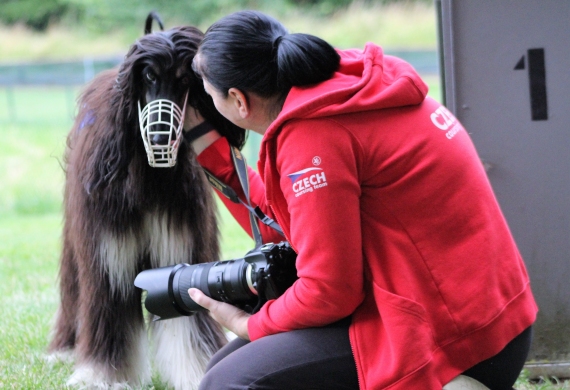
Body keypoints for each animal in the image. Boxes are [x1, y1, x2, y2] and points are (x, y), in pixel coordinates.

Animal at [48, 13, 244, 388]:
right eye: (149, 75)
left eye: (184, 79)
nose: (158, 139)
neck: (146, 178)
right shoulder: (108, 253)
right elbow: (108, 309)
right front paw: (102, 375)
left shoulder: (179, 248)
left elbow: (187, 321)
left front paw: (197, 370)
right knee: (73, 284)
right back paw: (62, 348)